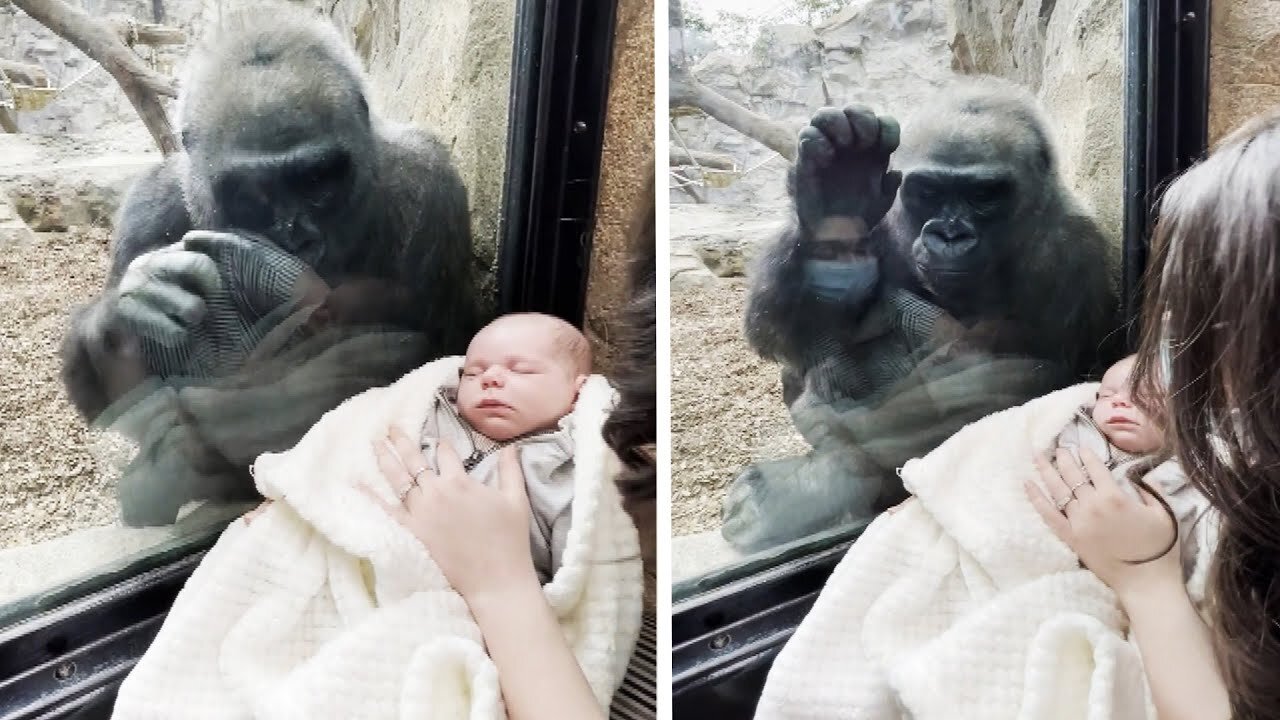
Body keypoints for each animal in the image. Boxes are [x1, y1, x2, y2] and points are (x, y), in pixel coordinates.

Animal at [60, 4, 481, 520]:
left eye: (317, 180)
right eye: (252, 193)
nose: (298, 239)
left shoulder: (430, 184)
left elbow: (428, 366)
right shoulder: (148, 203)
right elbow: (132, 403)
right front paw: (125, 310)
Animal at [721, 77, 1121, 548]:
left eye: (983, 195)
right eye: (929, 191)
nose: (949, 234)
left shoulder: (1072, 254)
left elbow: (1022, 390)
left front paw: (810, 486)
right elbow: (782, 328)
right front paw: (835, 199)